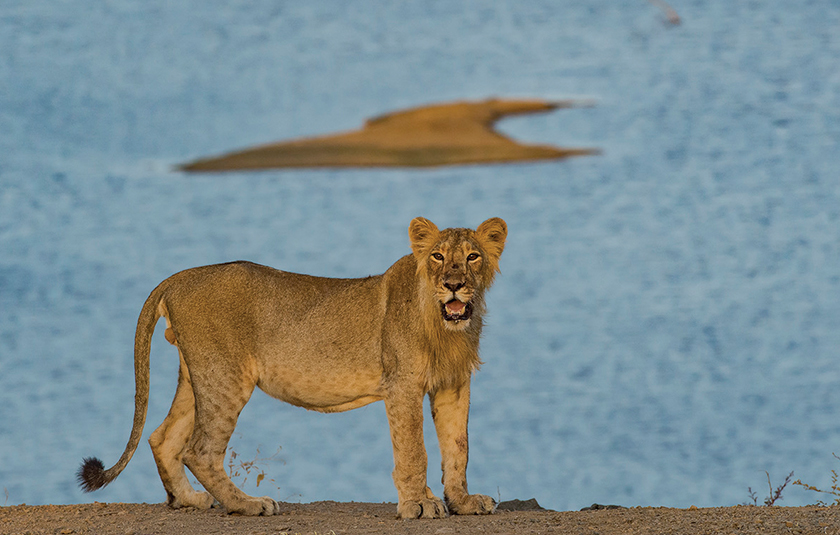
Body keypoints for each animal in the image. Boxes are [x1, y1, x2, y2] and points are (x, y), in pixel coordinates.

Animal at [77, 217, 507, 519]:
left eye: (472, 257)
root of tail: (180, 276)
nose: (453, 284)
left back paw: (189, 500)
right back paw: (249, 504)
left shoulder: (454, 385)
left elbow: (458, 446)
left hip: (196, 375)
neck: (447, 327)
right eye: (437, 256)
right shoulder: (402, 385)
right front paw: (418, 504)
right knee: (199, 450)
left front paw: (463, 501)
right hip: (226, 377)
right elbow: (414, 449)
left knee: (163, 438)